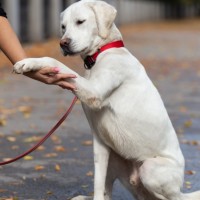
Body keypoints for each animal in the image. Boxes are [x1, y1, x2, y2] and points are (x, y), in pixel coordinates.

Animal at [13, 0, 200, 200]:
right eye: (63, 26)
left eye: (80, 21)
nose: (63, 43)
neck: (100, 54)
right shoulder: (100, 143)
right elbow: (98, 184)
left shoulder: (93, 91)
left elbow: (55, 61)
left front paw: (28, 62)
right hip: (114, 158)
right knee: (107, 193)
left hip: (150, 169)